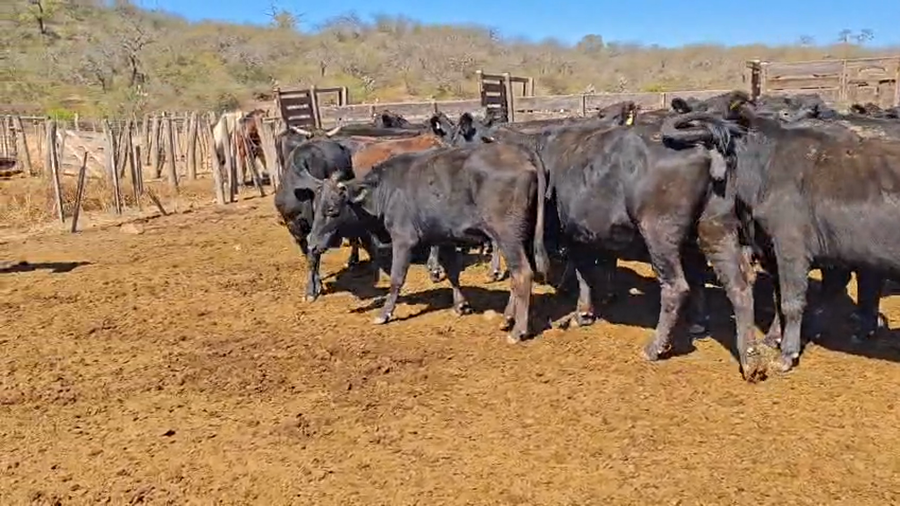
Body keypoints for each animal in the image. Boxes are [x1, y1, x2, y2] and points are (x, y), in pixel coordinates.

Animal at [297, 142, 551, 342]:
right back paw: (507, 318)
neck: (387, 190)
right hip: (521, 238)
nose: (312, 243)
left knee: (522, 274)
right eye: (316, 206)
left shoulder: (403, 239)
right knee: (518, 277)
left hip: (506, 237)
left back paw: (517, 331)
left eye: (331, 210)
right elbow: (453, 272)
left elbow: (397, 279)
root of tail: (521, 152)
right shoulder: (444, 237)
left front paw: (384, 313)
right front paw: (460, 305)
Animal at [661, 101, 900, 373]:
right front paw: (774, 338)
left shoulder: (790, 248)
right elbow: (779, 298)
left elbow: (791, 301)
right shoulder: (772, 250)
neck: (767, 165)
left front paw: (786, 354)